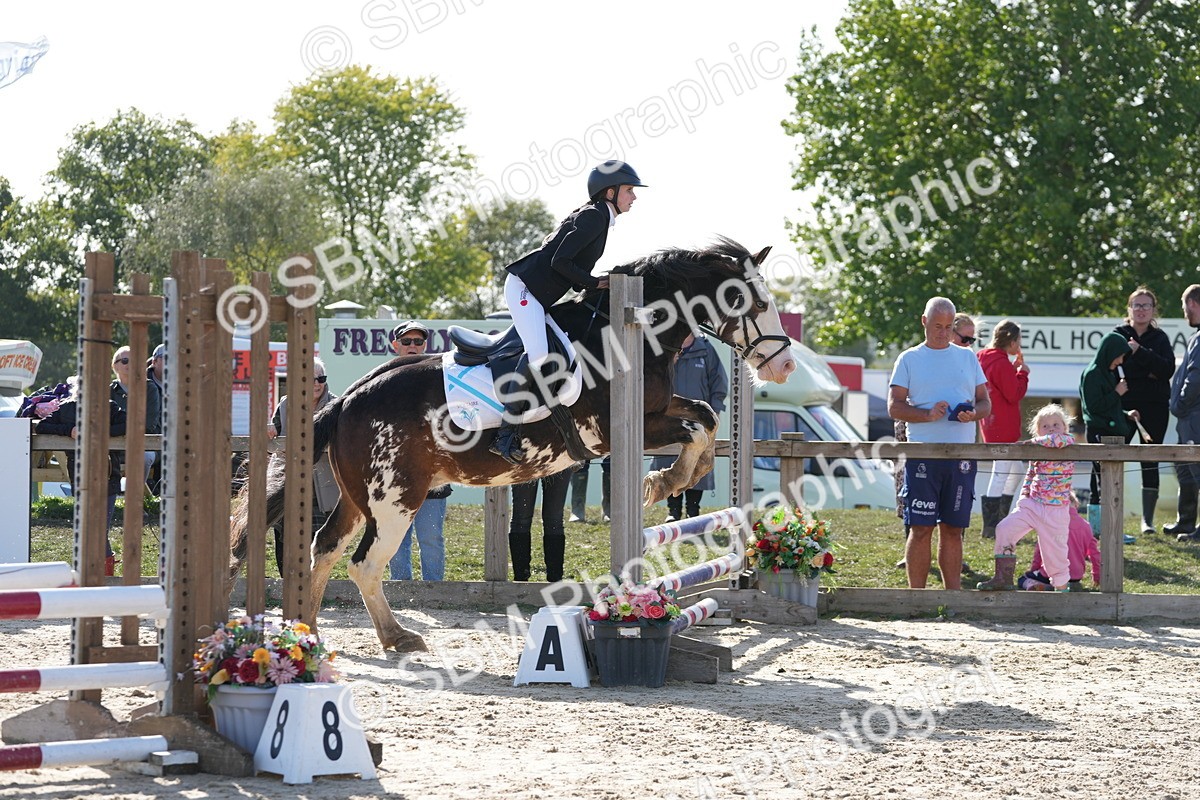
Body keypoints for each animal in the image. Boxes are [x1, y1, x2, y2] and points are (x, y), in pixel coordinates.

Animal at [230, 237, 797, 651]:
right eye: (757, 302)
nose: (785, 366)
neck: (628, 328)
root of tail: (346, 400)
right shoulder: (614, 431)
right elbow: (695, 429)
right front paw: (662, 483)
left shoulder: (657, 410)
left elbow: (704, 416)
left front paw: (675, 480)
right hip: (395, 501)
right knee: (364, 563)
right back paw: (395, 637)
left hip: (357, 499)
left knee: (322, 549)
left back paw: (310, 633)